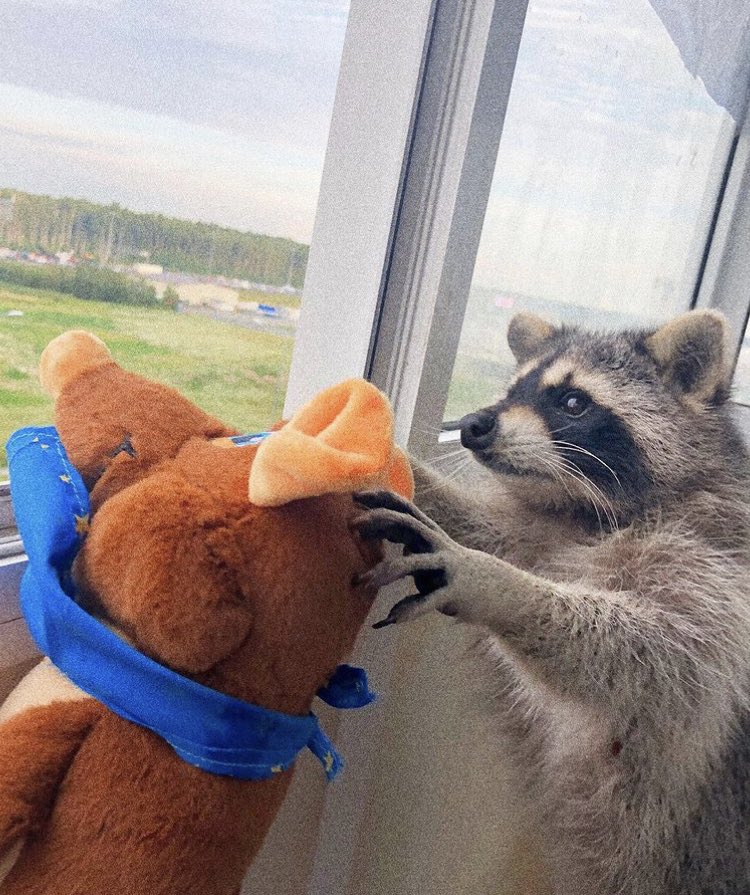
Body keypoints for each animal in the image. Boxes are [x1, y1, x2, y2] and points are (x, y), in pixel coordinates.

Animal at [354, 310, 750, 895]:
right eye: (513, 389)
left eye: (572, 402)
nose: (473, 424)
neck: (586, 510)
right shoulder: (547, 529)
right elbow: (496, 533)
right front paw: (399, 465)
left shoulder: (718, 569)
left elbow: (662, 661)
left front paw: (497, 584)